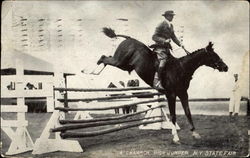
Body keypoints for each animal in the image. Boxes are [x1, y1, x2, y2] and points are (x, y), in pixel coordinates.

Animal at [95, 27, 229, 144]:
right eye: (214, 56)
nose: (225, 67)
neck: (181, 68)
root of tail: (128, 38)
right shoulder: (171, 95)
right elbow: (173, 116)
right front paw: (176, 137)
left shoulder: (183, 94)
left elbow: (188, 112)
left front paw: (195, 133)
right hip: (120, 62)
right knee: (104, 58)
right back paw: (93, 70)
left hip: (125, 65)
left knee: (107, 58)